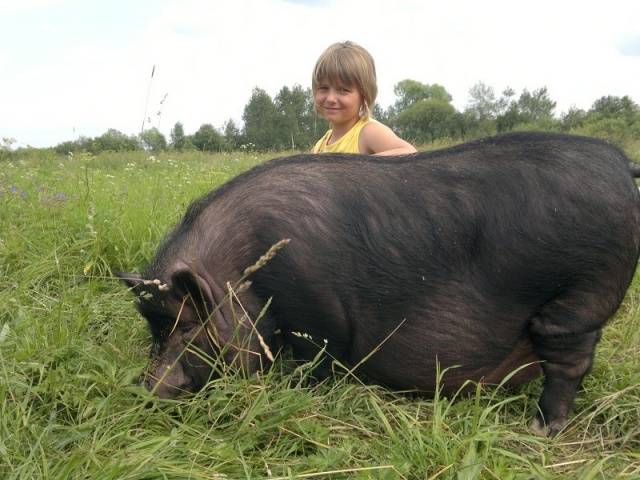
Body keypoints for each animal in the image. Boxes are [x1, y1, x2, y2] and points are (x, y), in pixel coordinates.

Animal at [120, 132, 640, 436]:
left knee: (568, 363)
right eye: (154, 329)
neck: (242, 271)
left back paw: (542, 430)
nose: (147, 389)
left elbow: (317, 361)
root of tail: (620, 162)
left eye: (189, 328)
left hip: (578, 297)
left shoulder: (317, 313)